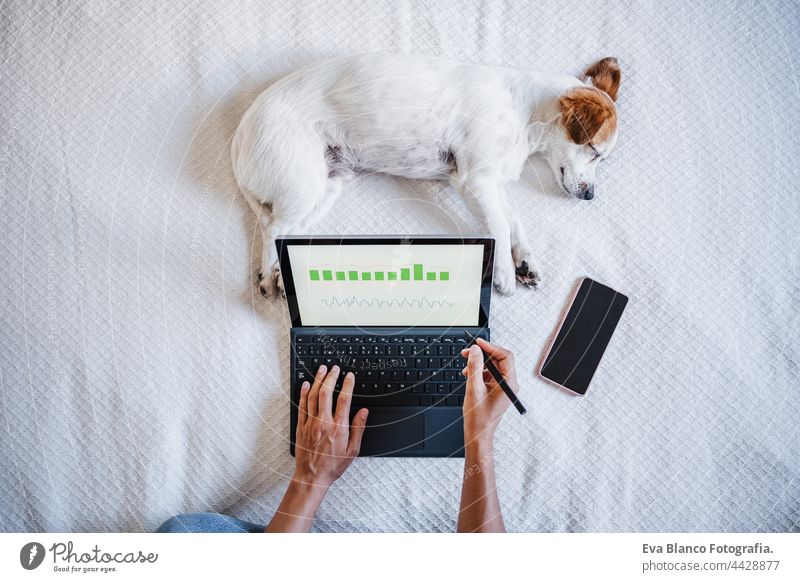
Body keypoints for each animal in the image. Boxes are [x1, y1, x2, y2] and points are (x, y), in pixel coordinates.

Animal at [230, 53, 620, 296]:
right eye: (595, 151)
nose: (591, 196)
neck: (522, 109)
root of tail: (240, 133)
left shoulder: (489, 182)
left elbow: (514, 221)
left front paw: (525, 261)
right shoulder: (475, 179)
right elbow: (499, 225)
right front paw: (506, 273)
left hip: (326, 186)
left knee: (282, 231)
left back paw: (281, 276)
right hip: (304, 185)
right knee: (272, 228)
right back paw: (268, 278)